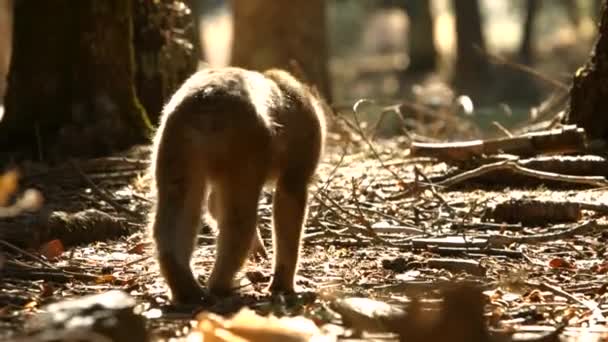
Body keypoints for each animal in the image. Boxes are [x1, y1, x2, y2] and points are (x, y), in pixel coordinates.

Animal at [148, 65, 328, 304]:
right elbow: (289, 202)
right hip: (245, 143)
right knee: (239, 219)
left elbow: (213, 206)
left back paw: (185, 287)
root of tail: (207, 100)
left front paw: (258, 251)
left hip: (175, 139)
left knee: (177, 203)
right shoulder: (301, 152)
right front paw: (283, 286)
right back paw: (221, 285)